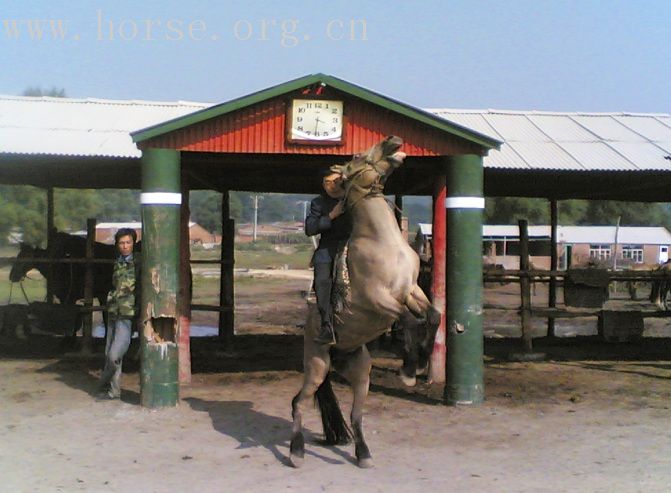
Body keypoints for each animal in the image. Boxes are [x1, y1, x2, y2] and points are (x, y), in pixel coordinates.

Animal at [290, 136, 440, 468]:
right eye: (358, 156)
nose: (393, 141)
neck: (382, 242)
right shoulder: (378, 298)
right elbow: (409, 320)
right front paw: (408, 371)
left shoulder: (411, 289)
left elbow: (433, 317)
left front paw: (422, 363)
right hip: (316, 366)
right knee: (298, 403)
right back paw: (296, 452)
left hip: (360, 372)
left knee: (355, 414)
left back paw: (363, 454)